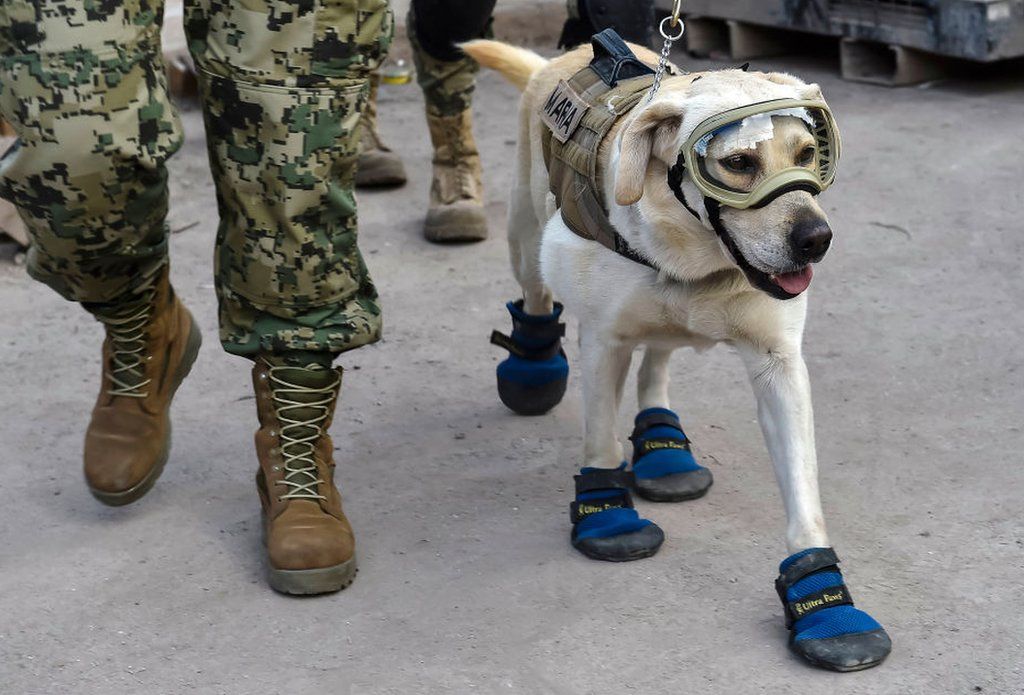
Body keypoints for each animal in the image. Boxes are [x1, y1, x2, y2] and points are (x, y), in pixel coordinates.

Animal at [464, 35, 888, 671]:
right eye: (738, 164)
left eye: (809, 151)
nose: (817, 239)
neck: (698, 259)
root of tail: (562, 55)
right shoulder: (604, 341)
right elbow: (600, 440)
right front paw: (607, 516)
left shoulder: (779, 366)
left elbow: (803, 496)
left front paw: (826, 605)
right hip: (524, 239)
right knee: (536, 295)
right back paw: (533, 367)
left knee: (657, 362)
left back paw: (664, 445)